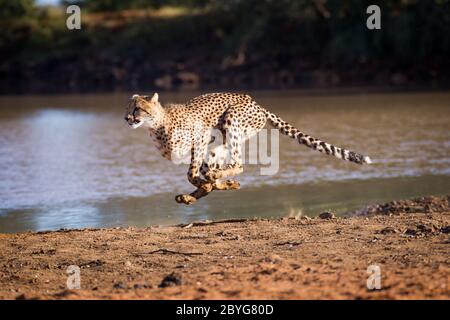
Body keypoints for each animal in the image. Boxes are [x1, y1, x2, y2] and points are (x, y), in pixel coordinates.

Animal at [125, 92, 370, 205]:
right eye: (128, 108)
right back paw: (206, 189)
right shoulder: (204, 144)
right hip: (225, 137)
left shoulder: (202, 136)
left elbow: (191, 173)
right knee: (222, 161)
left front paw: (208, 184)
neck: (157, 125)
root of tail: (255, 102)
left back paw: (215, 181)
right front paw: (208, 187)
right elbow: (198, 174)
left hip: (232, 120)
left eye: (137, 109)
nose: (126, 118)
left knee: (237, 163)